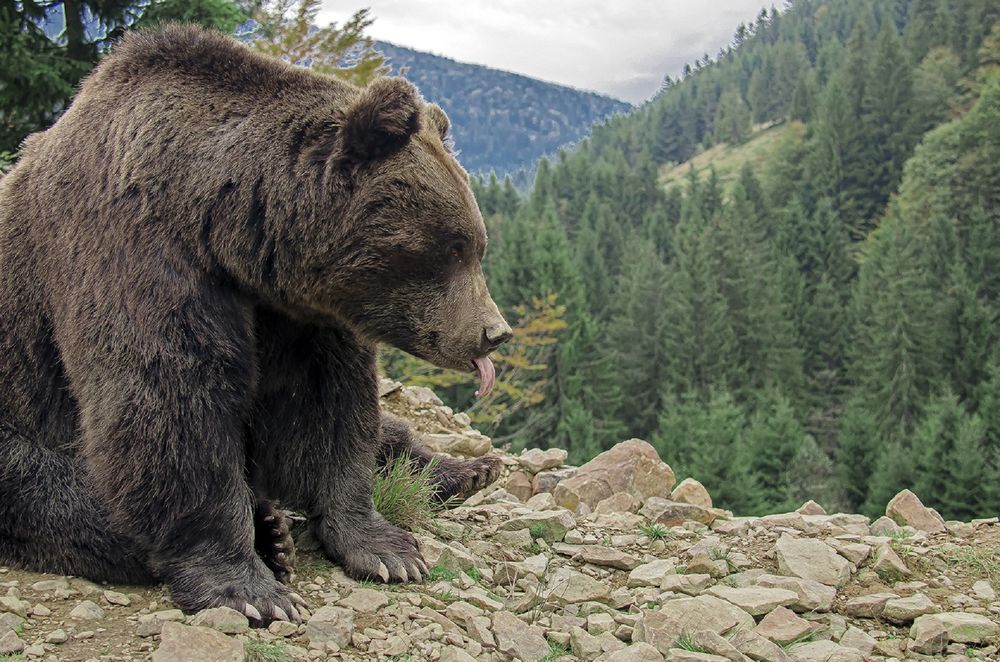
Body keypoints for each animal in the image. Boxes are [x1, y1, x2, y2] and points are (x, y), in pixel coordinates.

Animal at [0, 24, 512, 628]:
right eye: (451, 247)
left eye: (476, 245)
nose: (493, 333)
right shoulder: (135, 249)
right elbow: (171, 403)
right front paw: (247, 586)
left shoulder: (296, 314)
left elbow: (328, 407)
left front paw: (386, 548)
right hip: (17, 411)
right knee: (53, 489)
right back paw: (267, 531)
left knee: (387, 428)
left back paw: (466, 471)